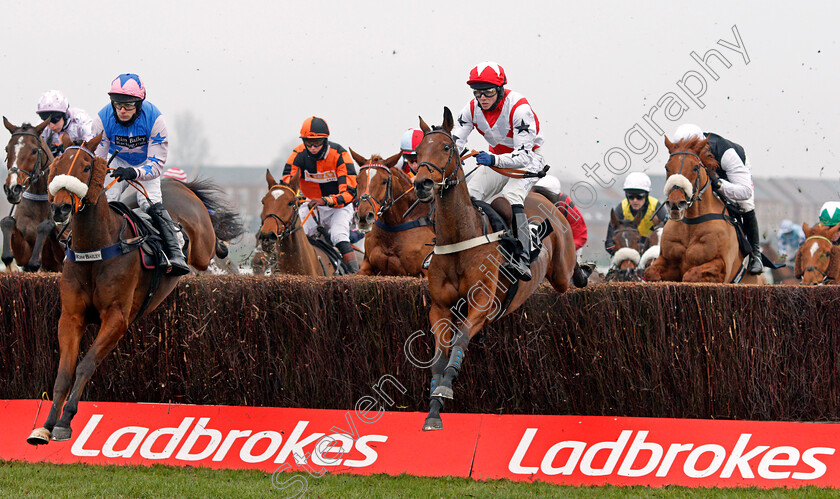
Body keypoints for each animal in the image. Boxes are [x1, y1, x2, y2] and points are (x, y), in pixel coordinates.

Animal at [1, 117, 64, 272]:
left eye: (34, 151)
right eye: (7, 149)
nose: (12, 189)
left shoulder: (61, 259)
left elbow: (47, 226)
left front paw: (34, 262)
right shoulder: (23, 254)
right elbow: (7, 221)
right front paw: (10, 263)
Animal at [27, 134, 243, 446]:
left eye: (86, 166)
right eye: (56, 165)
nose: (60, 209)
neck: (96, 248)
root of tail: (178, 184)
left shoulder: (117, 319)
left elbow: (86, 365)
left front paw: (65, 422)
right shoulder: (70, 317)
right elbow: (64, 373)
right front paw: (44, 426)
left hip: (201, 248)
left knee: (213, 244)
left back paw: (221, 245)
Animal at [408, 108, 580, 430]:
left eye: (446, 147)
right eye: (418, 152)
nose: (422, 184)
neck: (460, 239)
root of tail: (542, 197)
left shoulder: (482, 304)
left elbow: (461, 339)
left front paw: (445, 388)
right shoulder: (439, 308)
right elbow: (438, 356)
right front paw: (434, 410)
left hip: (561, 269)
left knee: (569, 276)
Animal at [644, 137, 768, 286]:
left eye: (695, 168)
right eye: (667, 167)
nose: (675, 203)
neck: (691, 223)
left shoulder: (722, 266)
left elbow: (690, 275)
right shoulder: (665, 259)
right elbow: (650, 272)